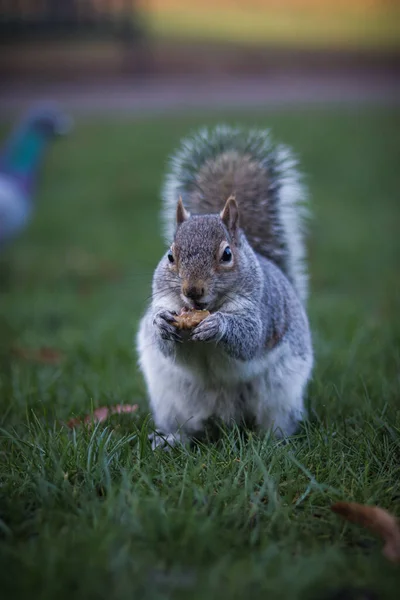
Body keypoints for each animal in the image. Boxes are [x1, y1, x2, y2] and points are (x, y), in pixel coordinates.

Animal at [136, 125, 314, 446]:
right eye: (170, 256)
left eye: (227, 254)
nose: (192, 291)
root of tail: (223, 415)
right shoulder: (164, 300)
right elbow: (165, 343)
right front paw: (161, 323)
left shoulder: (261, 309)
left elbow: (250, 337)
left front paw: (218, 326)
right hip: (171, 399)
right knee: (188, 428)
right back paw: (171, 440)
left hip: (280, 393)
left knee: (275, 421)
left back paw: (273, 442)